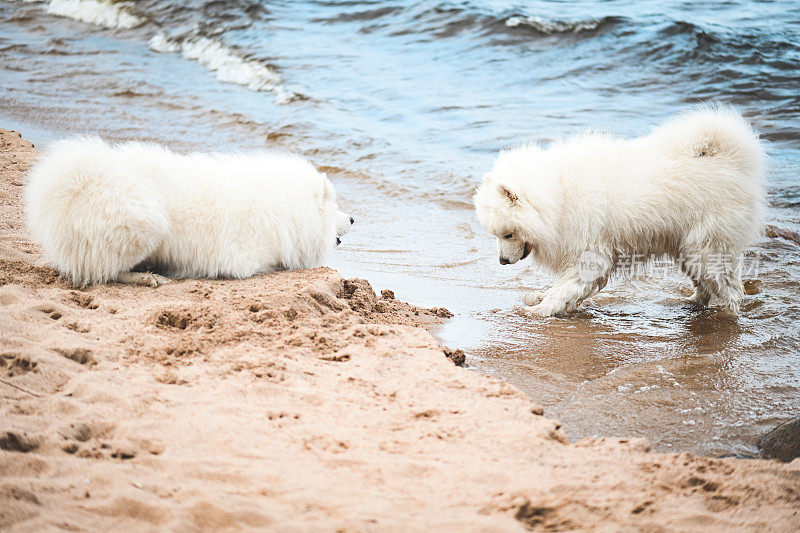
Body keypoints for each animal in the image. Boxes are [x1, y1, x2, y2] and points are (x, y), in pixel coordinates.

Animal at [25, 137, 354, 286]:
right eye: (335, 207)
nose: (353, 218)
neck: (285, 209)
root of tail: (83, 181)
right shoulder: (242, 259)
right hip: (146, 223)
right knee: (107, 271)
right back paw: (149, 278)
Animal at [476, 106, 768, 318]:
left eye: (508, 234)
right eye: (497, 235)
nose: (502, 261)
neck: (558, 194)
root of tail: (731, 161)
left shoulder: (589, 252)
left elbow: (565, 288)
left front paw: (540, 308)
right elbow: (567, 288)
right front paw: (541, 298)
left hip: (705, 246)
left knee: (730, 290)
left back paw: (725, 316)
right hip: (688, 248)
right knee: (705, 286)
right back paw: (692, 303)